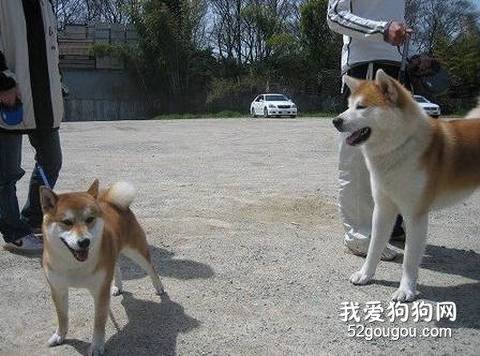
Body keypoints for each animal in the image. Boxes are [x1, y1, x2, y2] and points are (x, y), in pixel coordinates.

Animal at [41, 181, 165, 356]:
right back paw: (117, 287)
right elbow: (62, 317)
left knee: (151, 268)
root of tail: (109, 202)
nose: (84, 242)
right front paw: (59, 336)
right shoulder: (58, 289)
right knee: (117, 267)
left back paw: (159, 287)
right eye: (67, 222)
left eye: (89, 219)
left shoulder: (100, 292)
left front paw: (97, 346)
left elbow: (99, 322)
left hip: (135, 251)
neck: (74, 264)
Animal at [332, 70, 480, 304]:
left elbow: (409, 259)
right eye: (348, 105)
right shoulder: (383, 209)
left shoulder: (414, 215)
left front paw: (406, 290)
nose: (335, 121)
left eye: (362, 106)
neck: (400, 146)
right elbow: (374, 247)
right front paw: (366, 274)